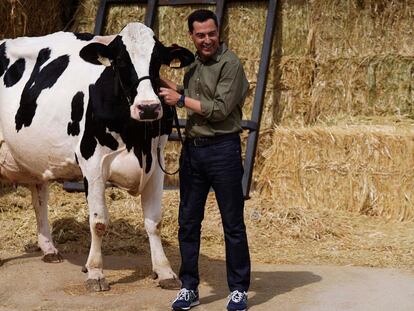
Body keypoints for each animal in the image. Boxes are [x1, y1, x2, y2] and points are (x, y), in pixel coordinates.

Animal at [0, 22, 194, 292]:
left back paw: (49, 249)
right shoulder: (93, 165)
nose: (148, 107)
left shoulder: (156, 165)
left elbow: (154, 221)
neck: (136, 137)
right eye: (120, 61)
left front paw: (165, 271)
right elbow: (99, 222)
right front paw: (95, 272)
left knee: (39, 197)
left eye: (157, 61)